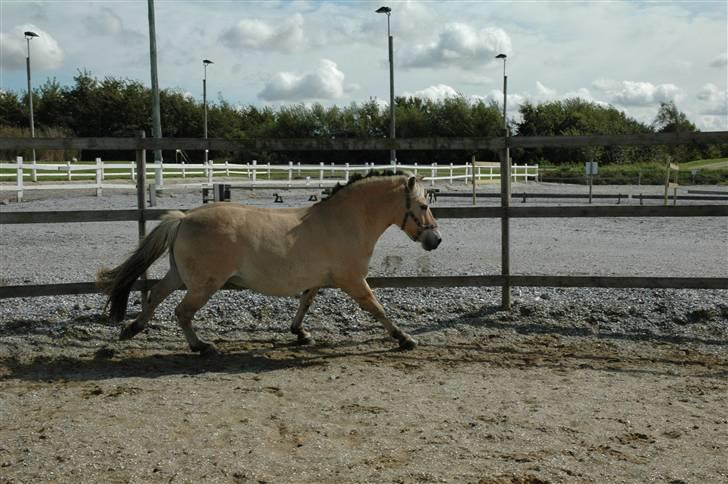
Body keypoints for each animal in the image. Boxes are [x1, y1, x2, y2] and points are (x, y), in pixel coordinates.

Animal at [94, 171, 440, 356]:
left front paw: (300, 333)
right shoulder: (353, 281)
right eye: (424, 205)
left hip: (179, 276)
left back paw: (131, 329)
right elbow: (377, 308)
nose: (435, 240)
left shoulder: (319, 279)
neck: (345, 221)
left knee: (155, 296)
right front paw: (405, 339)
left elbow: (305, 302)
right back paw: (201, 346)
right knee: (181, 311)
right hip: (203, 284)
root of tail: (184, 218)